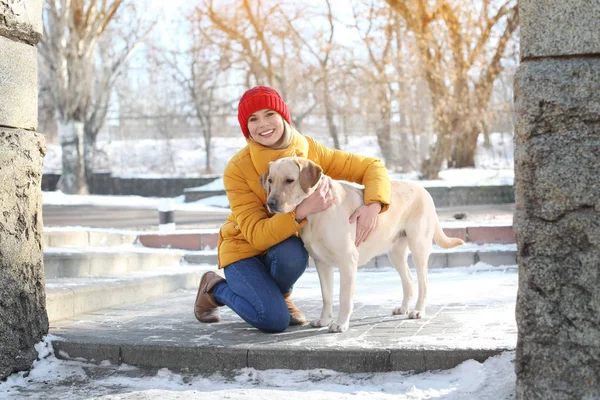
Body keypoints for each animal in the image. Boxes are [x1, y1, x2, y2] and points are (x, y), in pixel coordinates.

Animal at [262, 158, 464, 332]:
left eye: (289, 180)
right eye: (270, 180)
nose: (270, 203)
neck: (317, 213)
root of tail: (424, 190)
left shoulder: (347, 261)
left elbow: (344, 297)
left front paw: (340, 324)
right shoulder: (322, 263)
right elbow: (326, 296)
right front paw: (324, 320)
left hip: (419, 247)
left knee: (424, 282)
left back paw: (418, 311)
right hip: (396, 253)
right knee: (408, 279)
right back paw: (403, 308)